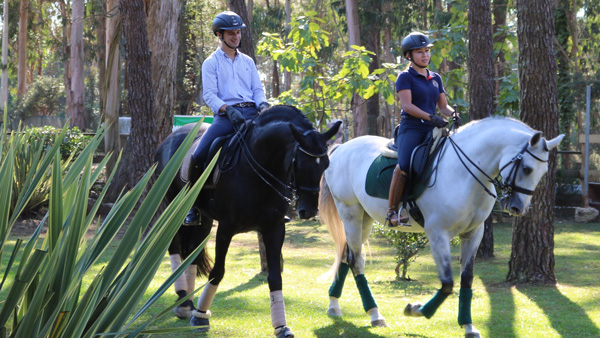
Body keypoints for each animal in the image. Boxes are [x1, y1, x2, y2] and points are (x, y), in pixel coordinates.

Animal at [155, 104, 342, 336]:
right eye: (300, 163)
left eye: (325, 164)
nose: (308, 211)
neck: (259, 165)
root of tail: (170, 138)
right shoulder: (226, 228)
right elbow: (218, 272)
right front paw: (200, 317)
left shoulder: (274, 228)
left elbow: (275, 277)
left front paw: (281, 326)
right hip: (173, 208)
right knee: (174, 246)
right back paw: (183, 301)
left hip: (204, 220)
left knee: (191, 252)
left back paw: (187, 302)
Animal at [322, 117, 564, 338]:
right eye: (527, 168)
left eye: (543, 172)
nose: (518, 208)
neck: (465, 175)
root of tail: (342, 147)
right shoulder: (438, 234)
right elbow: (447, 283)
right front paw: (417, 310)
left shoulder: (473, 234)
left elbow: (466, 279)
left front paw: (468, 326)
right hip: (350, 214)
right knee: (356, 261)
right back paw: (374, 314)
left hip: (365, 219)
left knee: (347, 255)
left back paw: (334, 305)